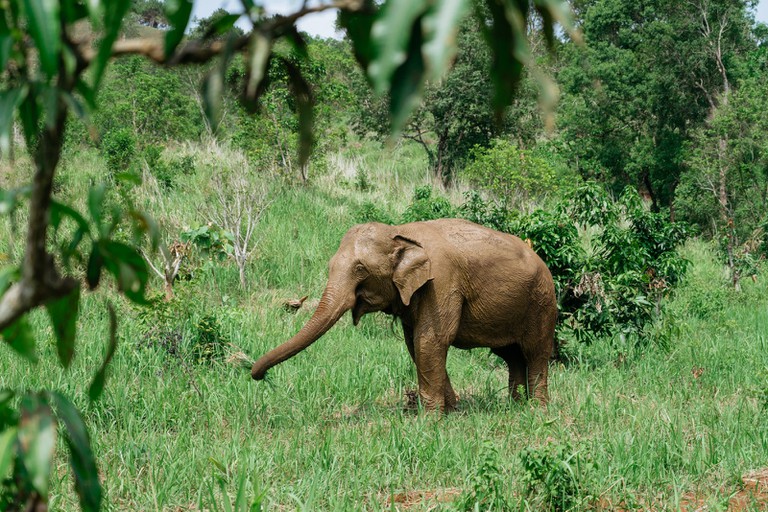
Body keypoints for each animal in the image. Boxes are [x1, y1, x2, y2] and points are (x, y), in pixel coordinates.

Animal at [251, 218, 557, 411]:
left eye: (360, 269)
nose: (258, 376)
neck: (400, 232)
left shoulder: (442, 282)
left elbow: (430, 341)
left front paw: (430, 421)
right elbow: (415, 345)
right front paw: (453, 410)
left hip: (542, 303)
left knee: (535, 353)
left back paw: (536, 410)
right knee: (512, 356)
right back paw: (515, 405)